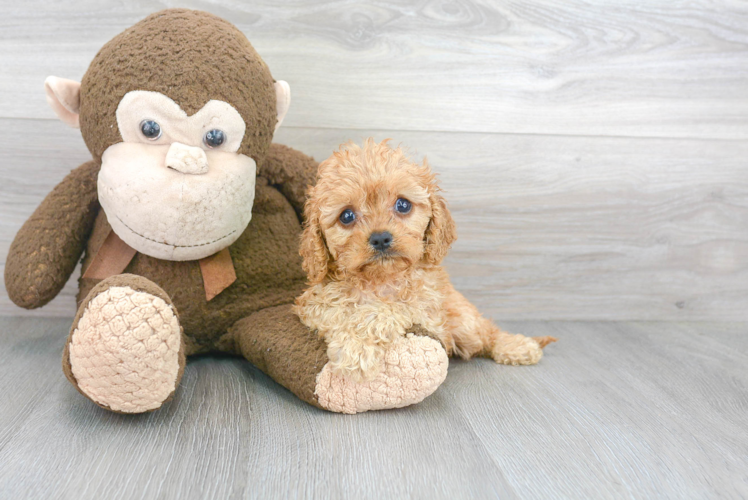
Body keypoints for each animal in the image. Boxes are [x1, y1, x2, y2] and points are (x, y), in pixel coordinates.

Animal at [294, 141, 556, 382]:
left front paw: (358, 345)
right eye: (346, 216)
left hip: (464, 322)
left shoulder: (428, 310)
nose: (380, 238)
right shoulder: (312, 304)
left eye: (403, 204)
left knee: (487, 334)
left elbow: (391, 308)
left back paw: (517, 346)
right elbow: (339, 308)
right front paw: (355, 343)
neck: (381, 280)